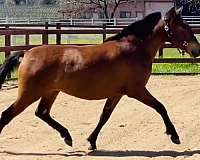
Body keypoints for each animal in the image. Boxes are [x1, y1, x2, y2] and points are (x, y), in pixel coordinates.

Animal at [0, 7, 200, 150]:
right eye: (184, 27)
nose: (196, 50)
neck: (134, 49)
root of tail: (26, 53)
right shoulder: (137, 90)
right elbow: (160, 107)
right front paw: (174, 136)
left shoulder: (117, 93)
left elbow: (104, 116)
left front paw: (91, 141)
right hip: (29, 93)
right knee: (7, 115)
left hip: (51, 92)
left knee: (41, 113)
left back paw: (67, 137)